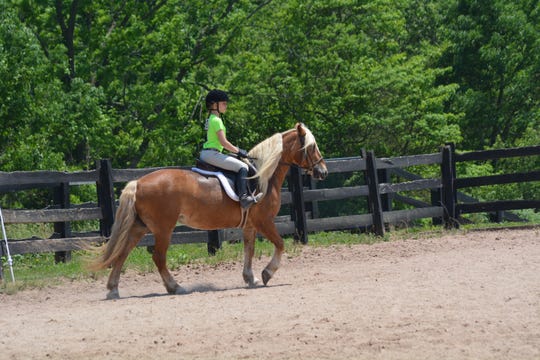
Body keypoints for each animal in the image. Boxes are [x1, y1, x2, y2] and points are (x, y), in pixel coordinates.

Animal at [90, 122, 326, 300]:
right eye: (311, 147)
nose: (323, 171)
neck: (261, 176)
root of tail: (138, 183)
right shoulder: (264, 221)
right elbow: (280, 244)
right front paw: (267, 274)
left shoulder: (250, 225)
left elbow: (248, 251)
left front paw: (250, 278)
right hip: (163, 228)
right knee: (158, 257)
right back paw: (175, 287)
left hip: (140, 226)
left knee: (123, 252)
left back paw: (113, 289)